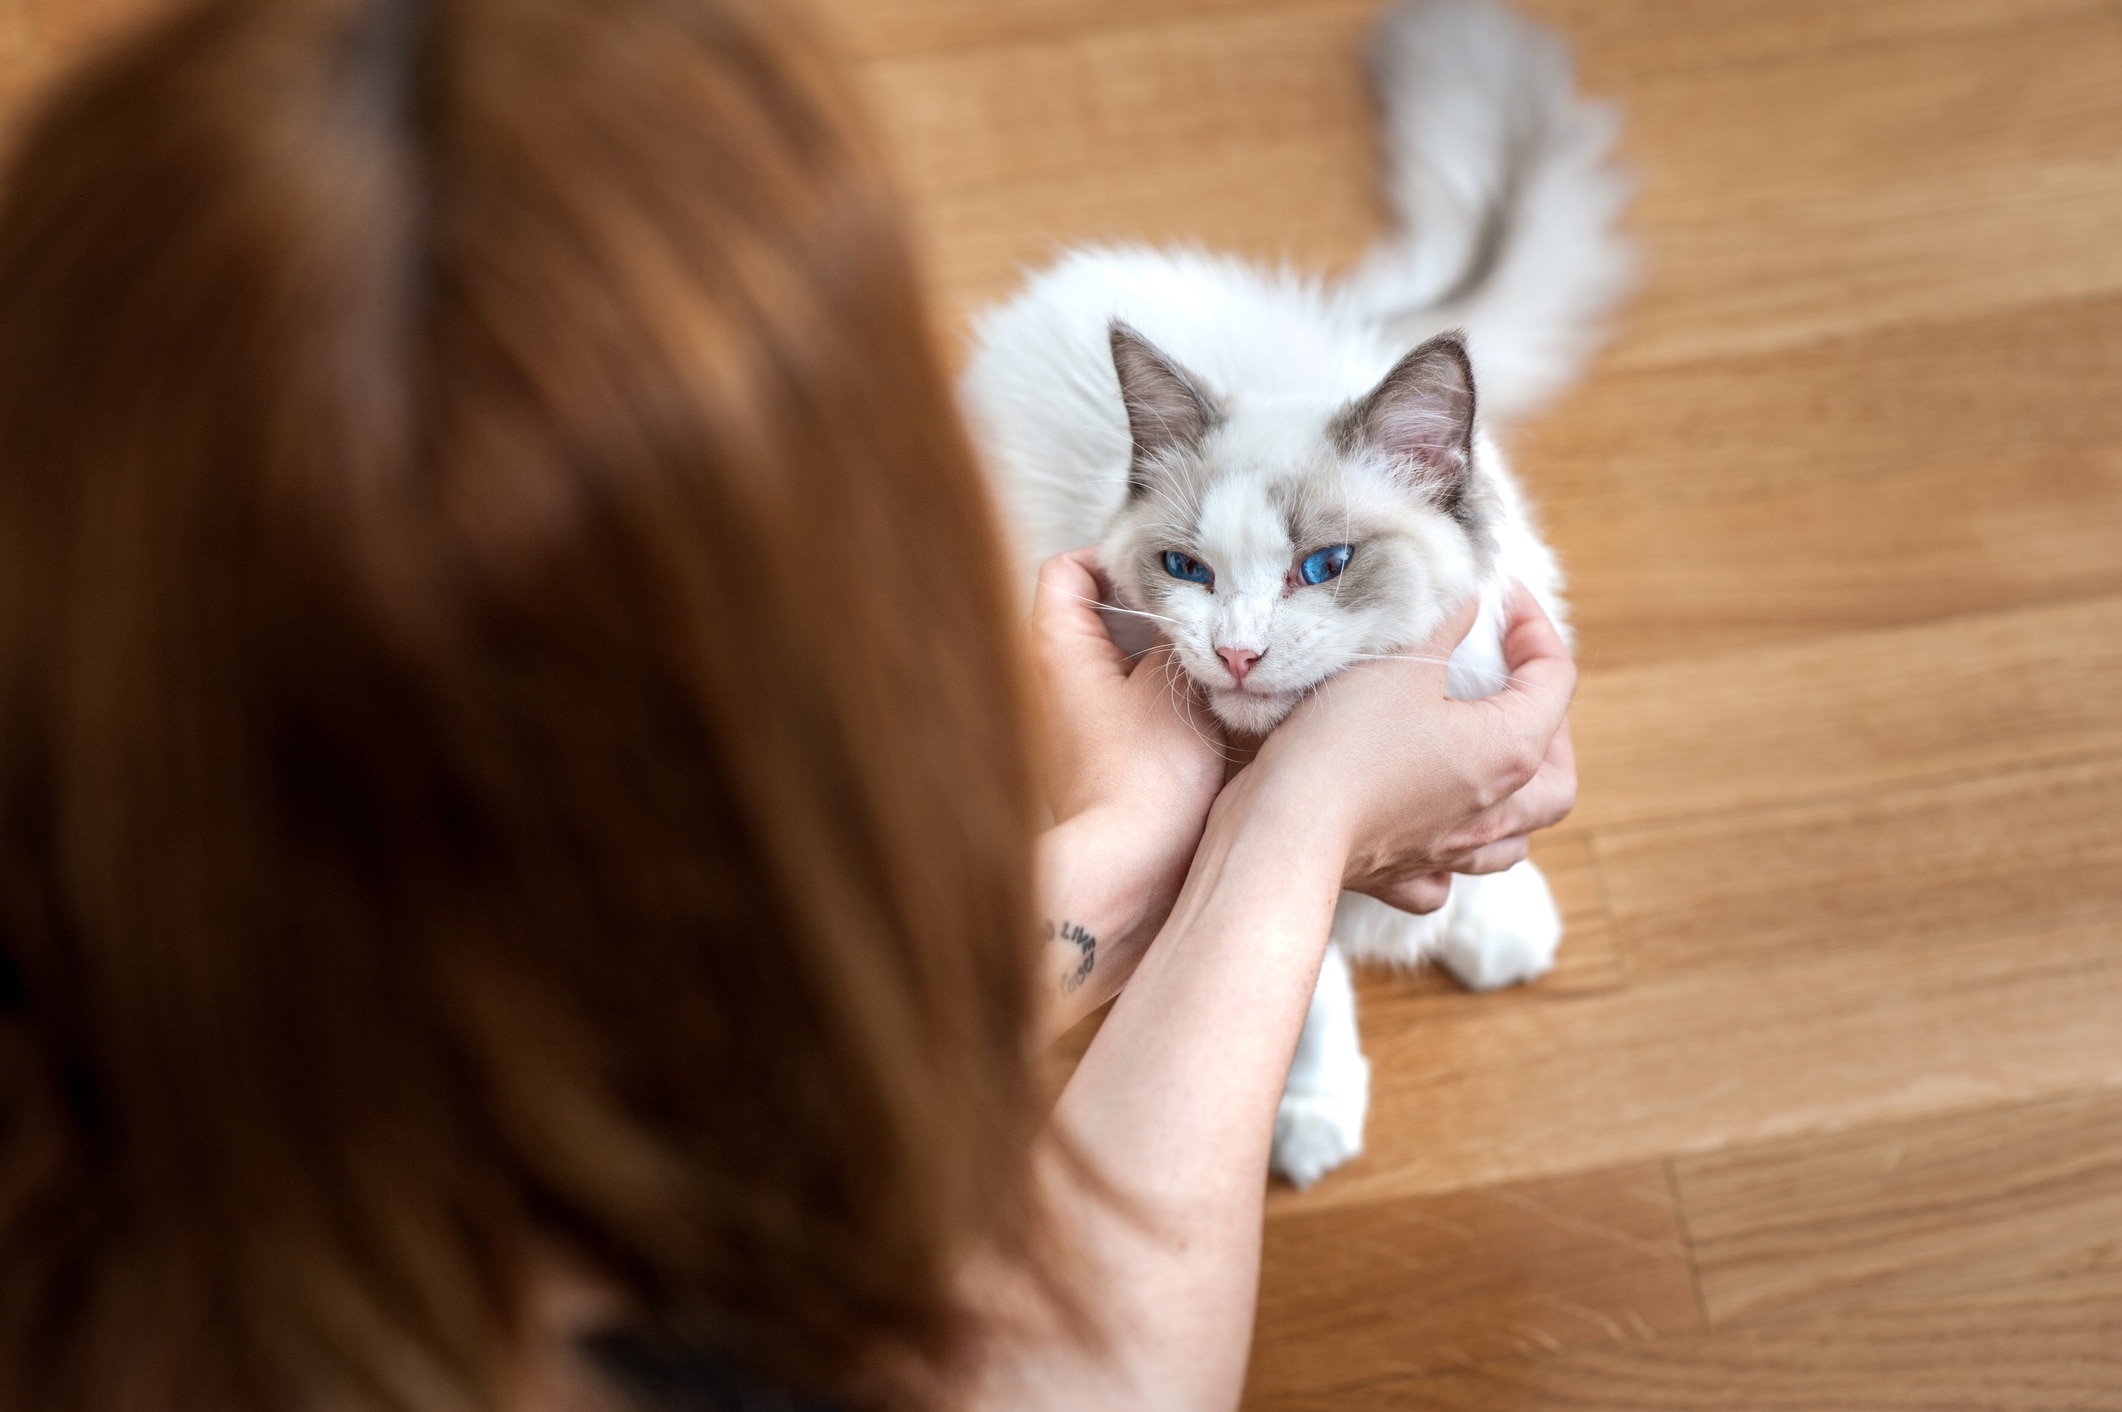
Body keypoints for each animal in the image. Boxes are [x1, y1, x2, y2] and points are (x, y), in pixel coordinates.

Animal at [971, 0, 1629, 1180]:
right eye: (1187, 572)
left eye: (1323, 567)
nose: (1236, 650)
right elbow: (1307, 984)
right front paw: (1311, 1112)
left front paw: (1492, 921)